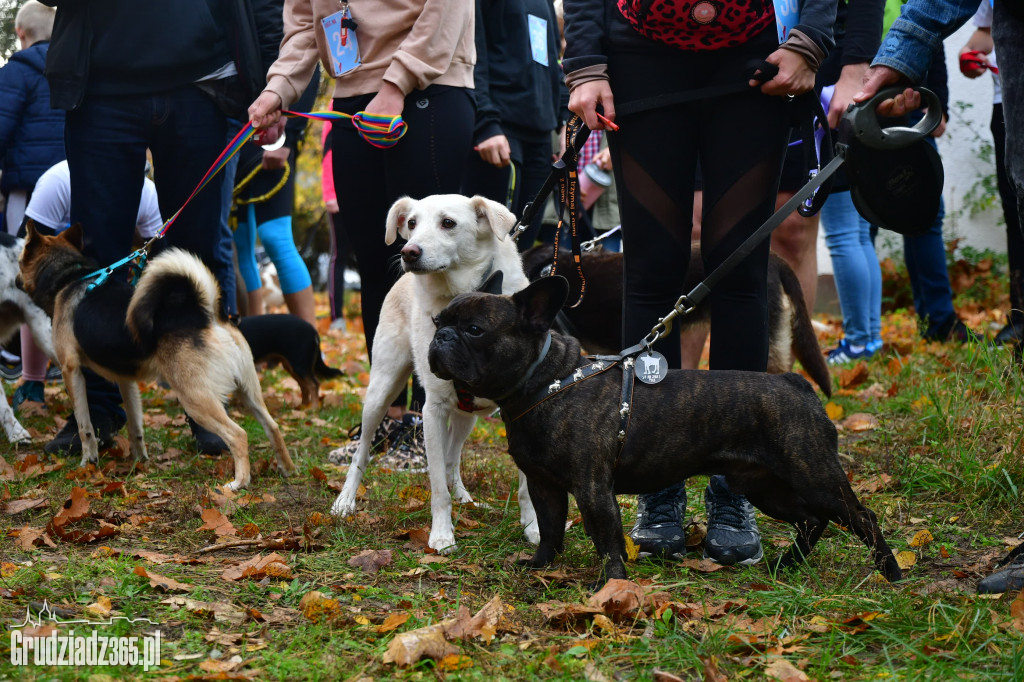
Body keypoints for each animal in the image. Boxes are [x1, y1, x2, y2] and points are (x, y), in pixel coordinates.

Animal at [18, 224, 294, 489]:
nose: (15, 280)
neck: (69, 277)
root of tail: (206, 315)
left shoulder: (71, 370)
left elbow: (85, 425)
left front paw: (88, 462)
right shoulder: (126, 379)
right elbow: (135, 425)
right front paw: (140, 460)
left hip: (195, 399)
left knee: (238, 435)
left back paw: (239, 482)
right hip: (249, 391)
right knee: (273, 426)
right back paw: (286, 468)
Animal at [331, 193, 540, 548]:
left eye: (448, 223)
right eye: (412, 223)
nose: (408, 251)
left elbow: (527, 487)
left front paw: (534, 528)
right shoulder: (433, 411)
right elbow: (437, 486)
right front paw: (442, 534)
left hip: (467, 415)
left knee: (452, 458)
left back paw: (466, 499)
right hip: (381, 392)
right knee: (362, 454)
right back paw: (345, 501)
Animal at [428, 274, 901, 581]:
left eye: (475, 330)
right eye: (437, 322)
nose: (440, 338)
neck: (548, 380)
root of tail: (794, 383)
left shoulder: (592, 489)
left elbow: (607, 541)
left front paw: (611, 587)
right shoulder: (545, 486)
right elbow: (549, 530)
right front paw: (541, 566)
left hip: (813, 473)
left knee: (860, 516)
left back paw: (891, 573)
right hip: (761, 485)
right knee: (810, 520)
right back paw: (787, 564)